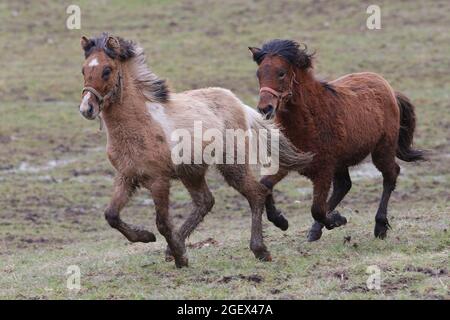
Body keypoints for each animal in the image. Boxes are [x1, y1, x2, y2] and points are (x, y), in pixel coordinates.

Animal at [77, 33, 312, 268]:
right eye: (83, 70)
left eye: (107, 70)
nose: (87, 109)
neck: (140, 124)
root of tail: (240, 105)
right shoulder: (126, 176)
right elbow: (111, 215)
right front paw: (147, 237)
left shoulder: (158, 180)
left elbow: (162, 223)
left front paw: (180, 257)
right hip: (192, 171)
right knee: (205, 201)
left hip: (231, 164)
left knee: (256, 193)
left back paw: (261, 249)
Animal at [248, 38, 424, 241]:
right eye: (258, 73)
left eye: (281, 73)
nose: (265, 108)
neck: (310, 119)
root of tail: (390, 90)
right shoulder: (288, 162)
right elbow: (265, 185)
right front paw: (280, 220)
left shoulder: (323, 169)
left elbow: (316, 209)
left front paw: (337, 220)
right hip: (342, 161)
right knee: (344, 185)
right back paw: (316, 230)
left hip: (382, 149)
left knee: (390, 175)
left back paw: (379, 225)